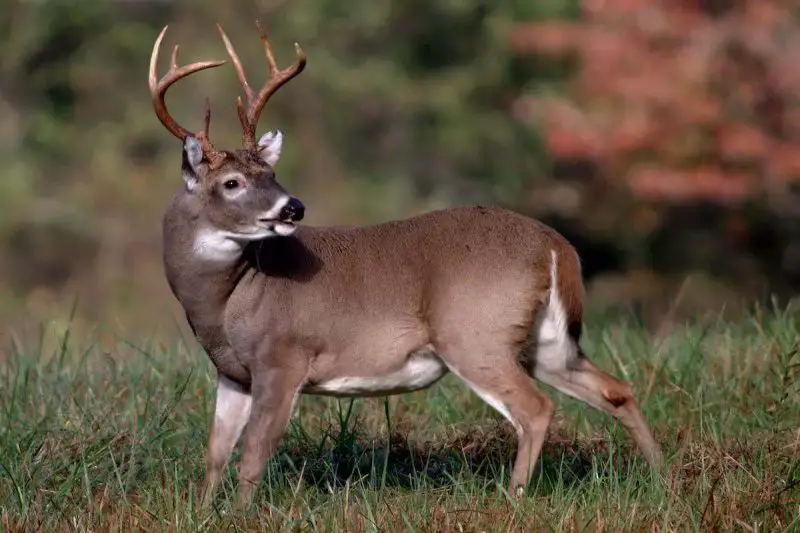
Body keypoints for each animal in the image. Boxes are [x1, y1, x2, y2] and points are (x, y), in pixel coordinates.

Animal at [148, 20, 663, 510]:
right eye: (233, 182)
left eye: (271, 174)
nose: (293, 207)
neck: (228, 300)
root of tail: (558, 247)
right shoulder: (233, 373)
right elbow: (216, 453)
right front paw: (203, 512)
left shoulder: (283, 356)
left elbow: (254, 453)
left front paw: (238, 514)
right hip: (546, 341)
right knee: (616, 389)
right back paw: (663, 476)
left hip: (475, 334)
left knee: (536, 409)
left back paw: (514, 500)